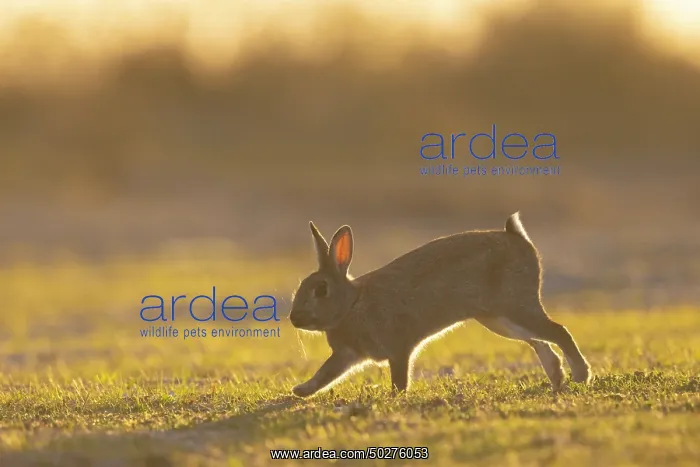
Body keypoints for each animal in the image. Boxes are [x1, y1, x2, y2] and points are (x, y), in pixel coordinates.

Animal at [288, 212, 592, 398]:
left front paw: (396, 397)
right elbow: (324, 374)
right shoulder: (347, 354)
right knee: (538, 341)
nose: (294, 319)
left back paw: (580, 375)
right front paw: (300, 391)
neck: (351, 305)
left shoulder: (399, 347)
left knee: (558, 331)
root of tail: (517, 237)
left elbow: (399, 376)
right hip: (498, 319)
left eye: (321, 290)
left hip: (515, 306)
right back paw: (557, 379)